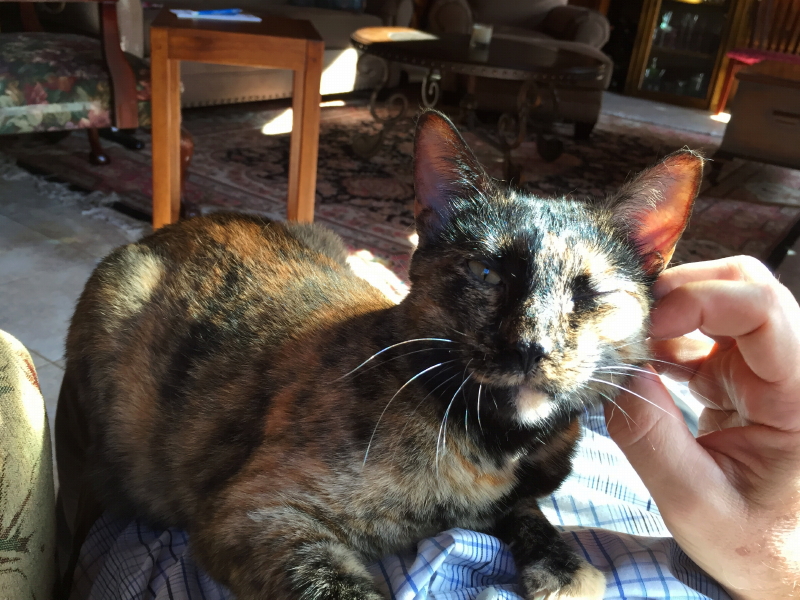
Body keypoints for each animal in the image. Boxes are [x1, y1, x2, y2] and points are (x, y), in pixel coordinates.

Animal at [57, 110, 702, 600]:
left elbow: (528, 512)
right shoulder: (254, 517)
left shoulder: (512, 495)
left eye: (590, 294)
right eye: (487, 273)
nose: (530, 344)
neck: (495, 448)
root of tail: (166, 231)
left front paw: (563, 567)